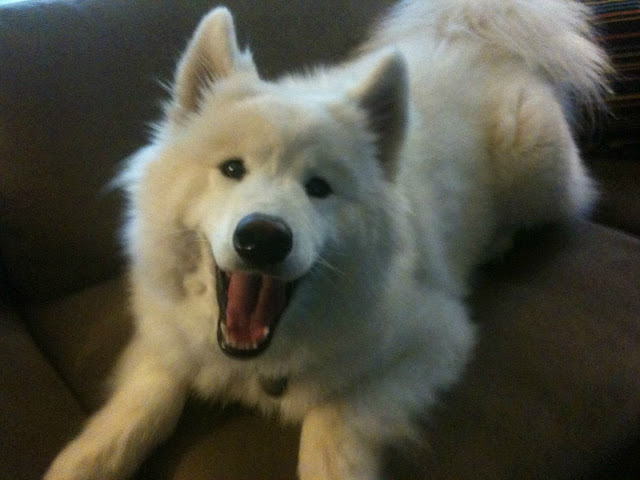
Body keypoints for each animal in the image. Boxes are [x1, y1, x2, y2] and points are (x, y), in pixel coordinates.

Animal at [44, 1, 607, 479]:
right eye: (232, 169)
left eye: (318, 188)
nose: (263, 237)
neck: (258, 362)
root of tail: (474, 39)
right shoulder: (167, 337)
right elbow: (144, 406)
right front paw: (82, 461)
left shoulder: (436, 338)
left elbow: (333, 422)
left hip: (538, 168)